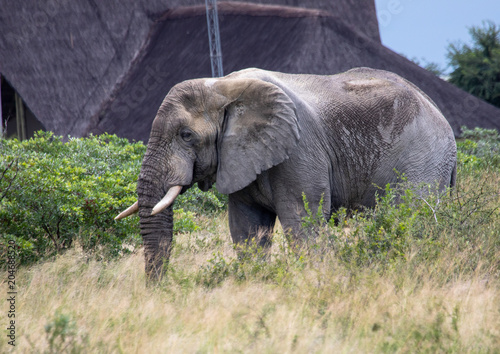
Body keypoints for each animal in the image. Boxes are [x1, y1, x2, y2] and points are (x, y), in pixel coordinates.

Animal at [116, 68, 458, 280]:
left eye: (186, 135)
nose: (158, 291)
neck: (223, 86)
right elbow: (247, 228)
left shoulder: (299, 151)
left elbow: (302, 222)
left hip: (422, 160)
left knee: (411, 219)